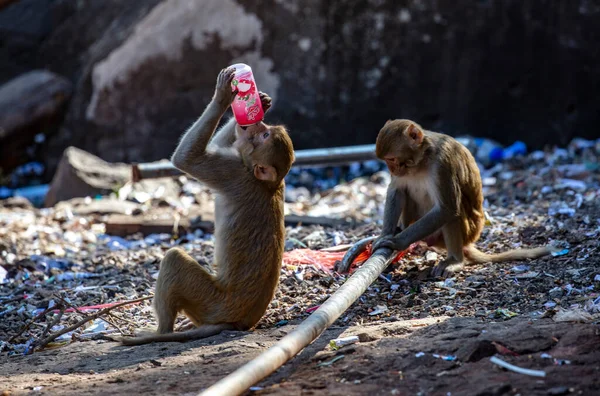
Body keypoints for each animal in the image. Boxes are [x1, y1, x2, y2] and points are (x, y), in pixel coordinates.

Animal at [119, 67, 292, 344]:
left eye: (265, 135)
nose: (260, 123)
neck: (269, 184)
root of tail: (236, 322)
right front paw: (258, 102)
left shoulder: (233, 173)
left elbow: (188, 159)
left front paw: (223, 96)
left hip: (209, 301)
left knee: (174, 259)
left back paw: (162, 331)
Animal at [338, 119, 552, 276]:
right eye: (386, 161)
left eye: (391, 159)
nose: (392, 170)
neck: (422, 160)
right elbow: (397, 191)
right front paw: (386, 234)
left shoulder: (443, 164)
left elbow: (447, 209)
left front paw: (396, 242)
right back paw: (403, 228)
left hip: (465, 231)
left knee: (452, 214)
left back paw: (455, 261)